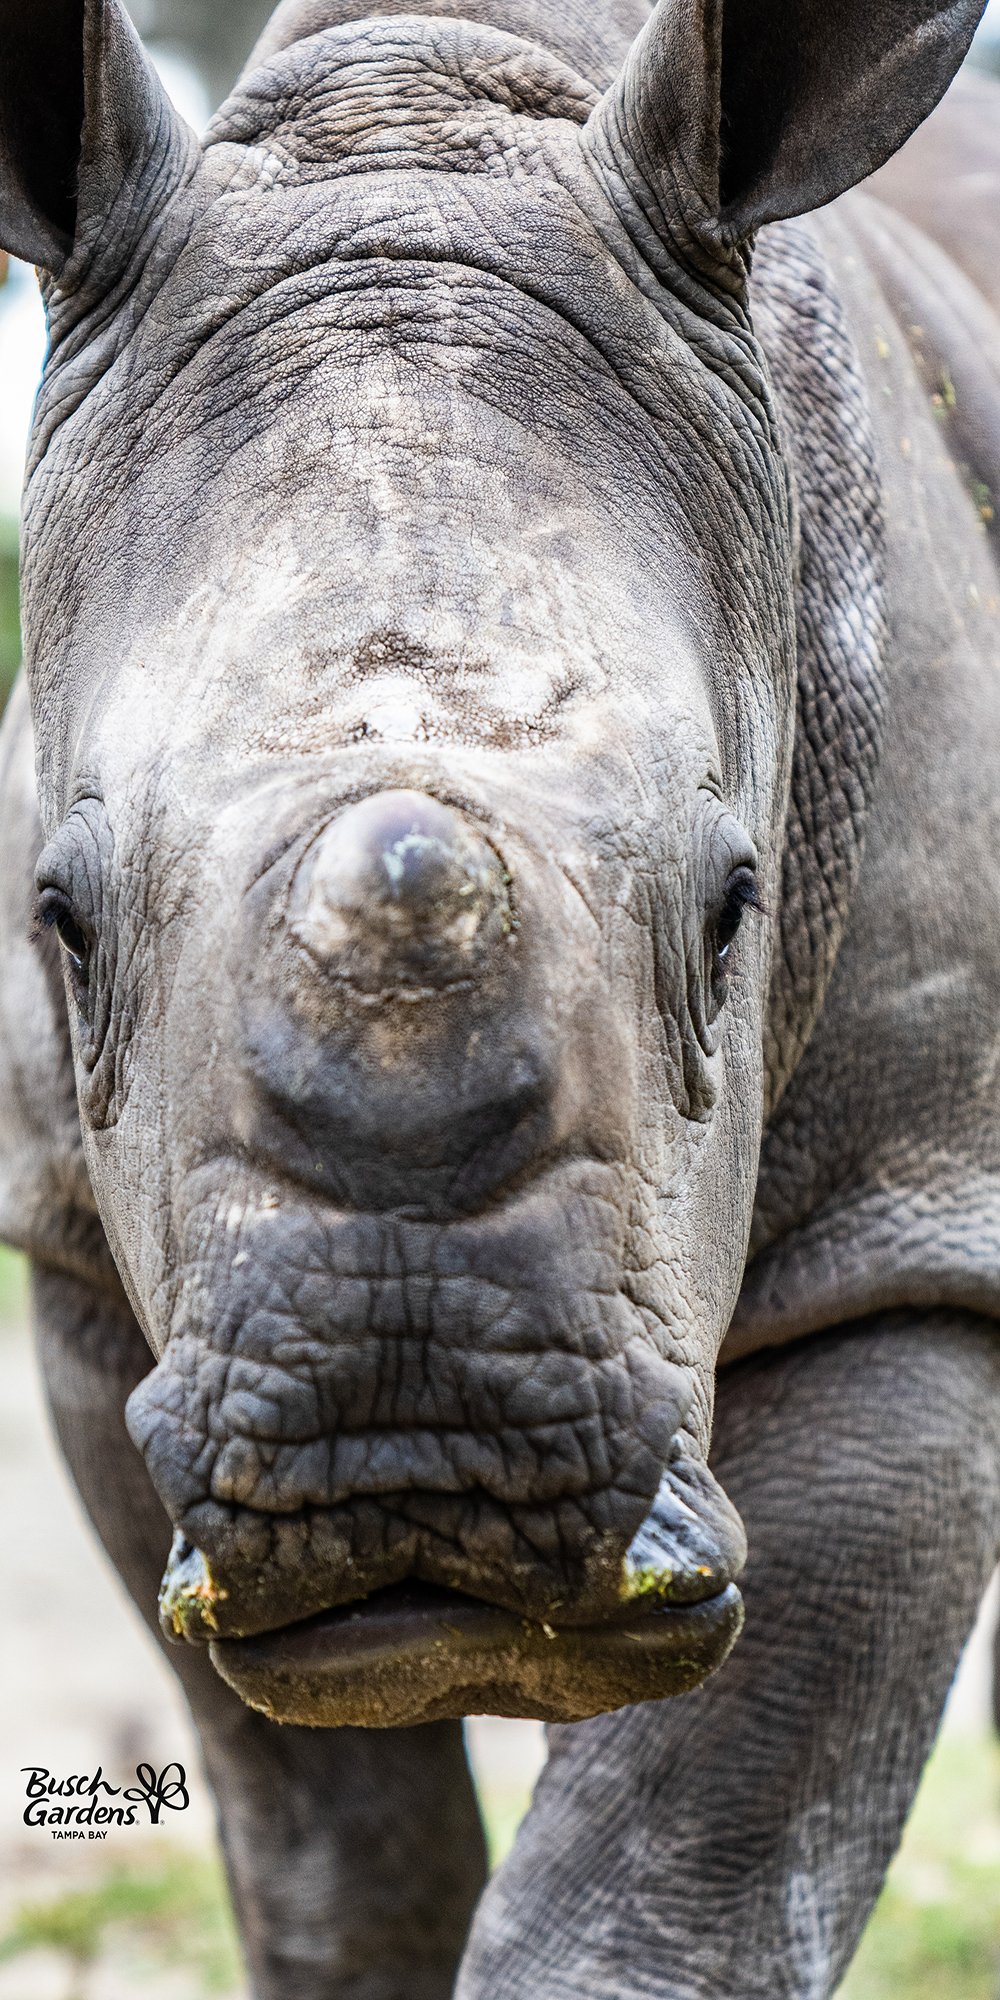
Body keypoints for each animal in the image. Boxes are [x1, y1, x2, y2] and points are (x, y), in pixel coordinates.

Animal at [3, 0, 1000, 1992]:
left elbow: (657, 1902)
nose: (410, 1439)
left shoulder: (911, 1222)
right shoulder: (70, 1252)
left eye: (735, 908)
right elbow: (331, 1861)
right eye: (61, 922)